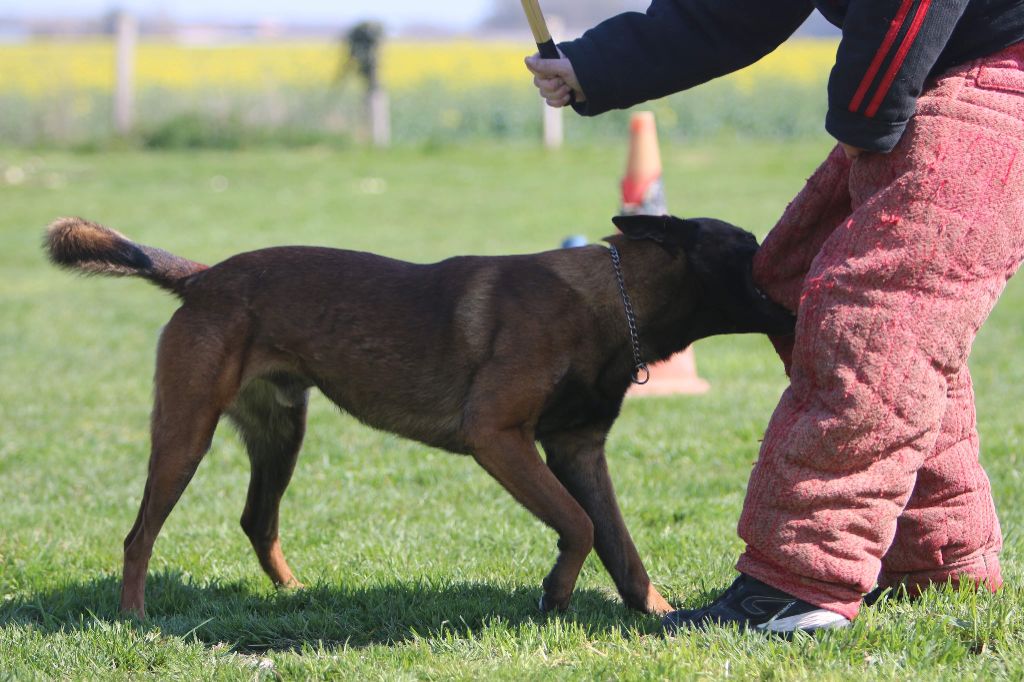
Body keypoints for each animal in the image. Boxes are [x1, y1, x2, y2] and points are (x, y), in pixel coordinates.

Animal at [46, 212, 790, 614]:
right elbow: (580, 526)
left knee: (257, 520)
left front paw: (656, 611)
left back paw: (294, 592)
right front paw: (554, 593)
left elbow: (619, 543)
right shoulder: (498, 437)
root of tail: (202, 278)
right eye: (749, 244)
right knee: (138, 536)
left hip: (282, 434)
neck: (613, 298)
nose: (797, 269)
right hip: (185, 435)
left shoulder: (578, 451)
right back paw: (135, 615)